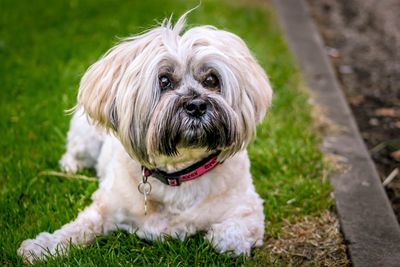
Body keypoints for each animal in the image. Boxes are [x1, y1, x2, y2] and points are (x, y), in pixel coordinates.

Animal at [18, 13, 272, 262]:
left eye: (211, 80)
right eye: (164, 81)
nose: (197, 105)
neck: (179, 174)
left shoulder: (249, 208)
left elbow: (231, 237)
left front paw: (216, 236)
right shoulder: (105, 206)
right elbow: (78, 228)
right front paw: (42, 248)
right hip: (86, 137)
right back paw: (70, 167)